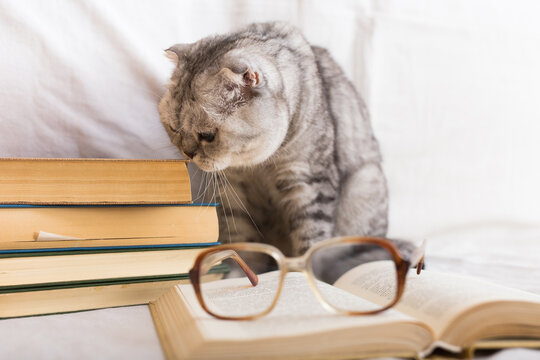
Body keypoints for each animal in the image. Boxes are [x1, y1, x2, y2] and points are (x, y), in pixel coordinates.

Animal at [158, 21, 402, 276]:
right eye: (174, 129)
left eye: (207, 135)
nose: (187, 153)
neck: (258, 165)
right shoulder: (233, 192)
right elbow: (241, 240)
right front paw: (238, 273)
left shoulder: (309, 182)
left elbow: (310, 239)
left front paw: (301, 276)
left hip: (366, 184)